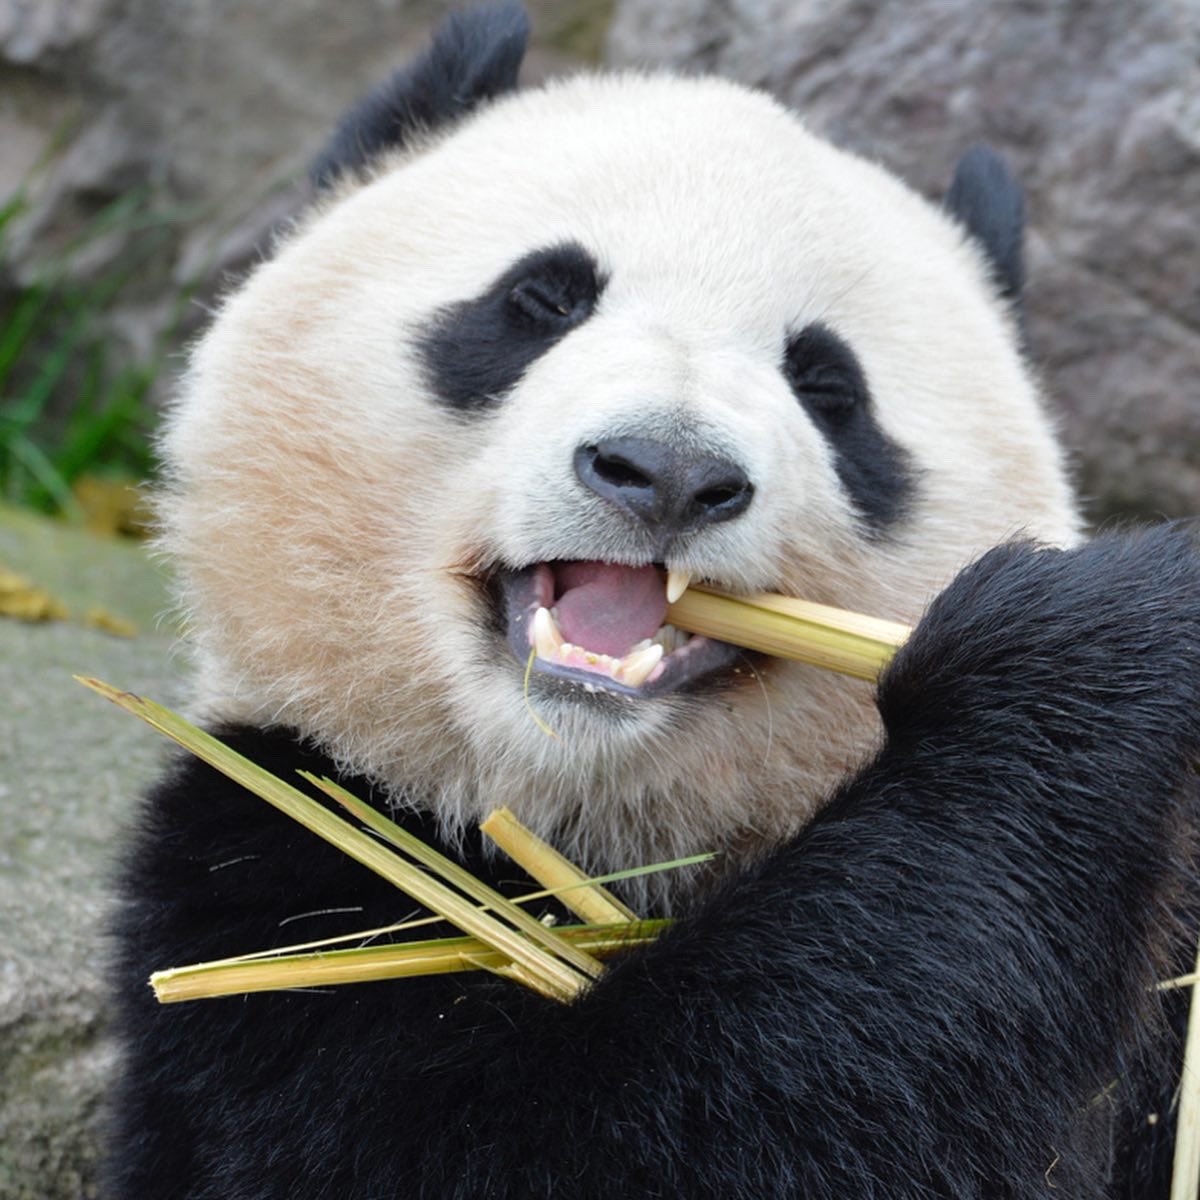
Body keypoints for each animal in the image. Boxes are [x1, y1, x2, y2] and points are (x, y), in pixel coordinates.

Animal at [105, 3, 1200, 1197]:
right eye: (541, 299)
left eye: (830, 386)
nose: (668, 470)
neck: (585, 828)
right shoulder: (274, 888)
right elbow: (604, 1132)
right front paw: (1094, 645)